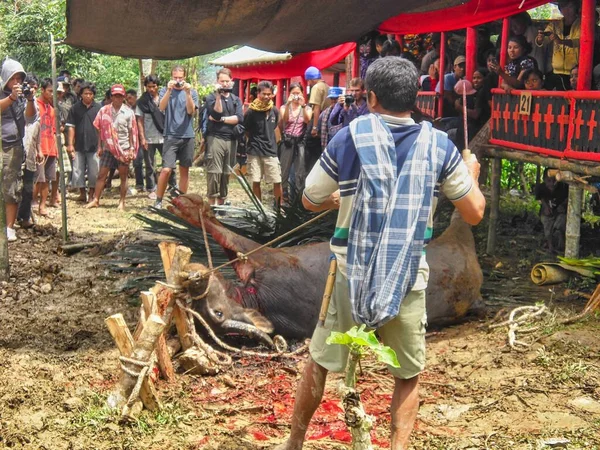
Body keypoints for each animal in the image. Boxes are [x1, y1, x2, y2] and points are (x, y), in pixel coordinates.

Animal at [168, 195, 482, 340]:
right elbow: (231, 237)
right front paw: (189, 206)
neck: (253, 297)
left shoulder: (265, 260)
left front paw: (190, 205)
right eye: (217, 314)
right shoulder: (274, 262)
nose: (193, 281)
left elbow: (228, 239)